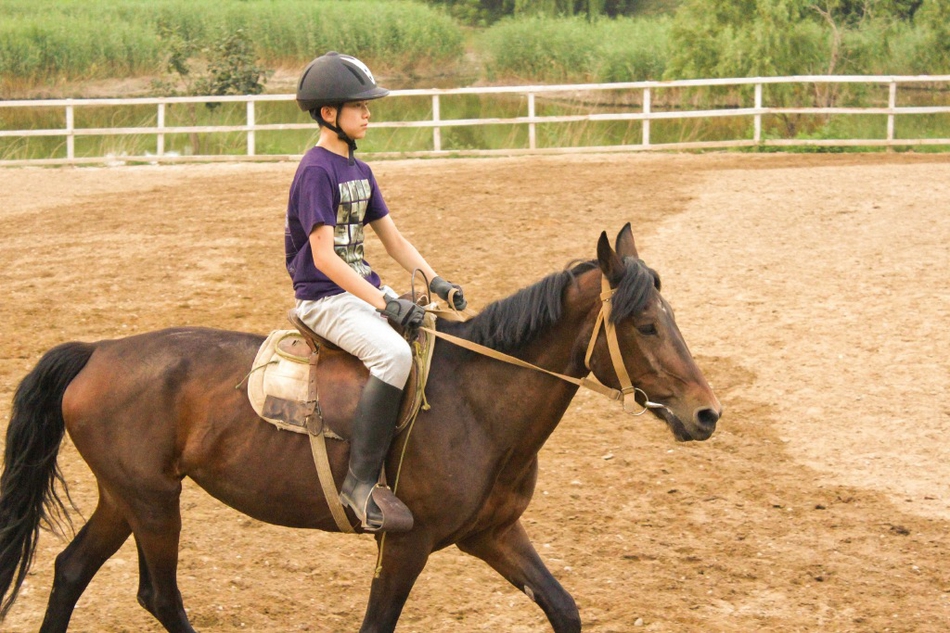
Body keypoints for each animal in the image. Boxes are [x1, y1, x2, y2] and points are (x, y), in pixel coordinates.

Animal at [0, 226, 720, 632]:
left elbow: (564, 608)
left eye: (671, 317)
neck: (477, 401)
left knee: (70, 570)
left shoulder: (493, 533)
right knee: (158, 596)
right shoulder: (405, 545)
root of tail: (99, 350)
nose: (706, 412)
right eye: (645, 325)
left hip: (127, 497)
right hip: (153, 503)